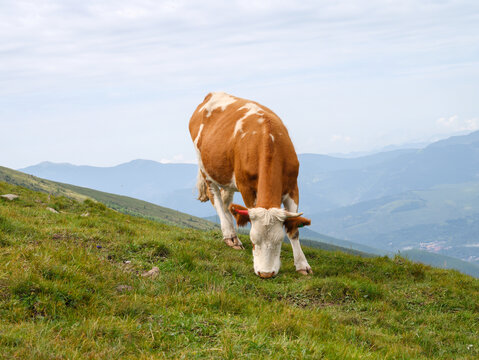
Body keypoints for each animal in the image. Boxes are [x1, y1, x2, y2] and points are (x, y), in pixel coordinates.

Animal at [189, 93, 314, 278]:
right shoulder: (246, 187)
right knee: (216, 198)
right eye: (253, 240)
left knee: (226, 203)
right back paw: (230, 236)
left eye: (279, 241)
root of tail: (213, 94)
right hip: (205, 167)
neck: (269, 139)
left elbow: (293, 228)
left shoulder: (293, 187)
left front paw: (302, 264)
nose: (266, 274)